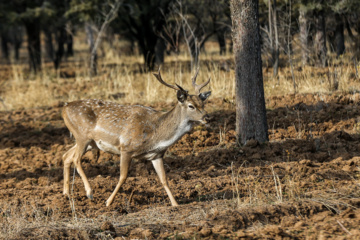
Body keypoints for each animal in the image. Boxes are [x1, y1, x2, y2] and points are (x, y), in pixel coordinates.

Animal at [60, 69, 210, 206]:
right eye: (191, 106)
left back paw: (66, 194)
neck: (156, 135)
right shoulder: (126, 148)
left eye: (203, 104)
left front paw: (175, 204)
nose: (207, 117)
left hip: (90, 142)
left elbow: (164, 179)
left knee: (66, 156)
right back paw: (89, 192)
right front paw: (108, 202)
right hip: (82, 136)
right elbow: (123, 177)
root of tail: (64, 108)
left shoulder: (157, 155)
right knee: (76, 158)